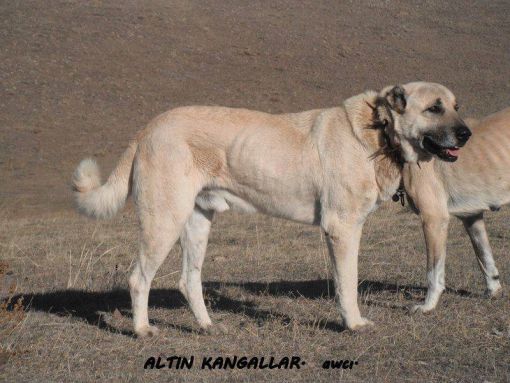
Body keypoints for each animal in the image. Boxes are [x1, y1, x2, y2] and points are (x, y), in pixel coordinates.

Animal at [71, 82, 470, 338]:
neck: (379, 132)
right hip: (164, 221)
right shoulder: (341, 229)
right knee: (139, 278)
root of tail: (149, 127)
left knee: (188, 280)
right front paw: (353, 324)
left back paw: (207, 326)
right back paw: (141, 330)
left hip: (198, 222)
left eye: (455, 106)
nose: (466, 134)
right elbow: (348, 283)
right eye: (434, 107)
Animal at [404, 106, 508, 314]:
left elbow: (433, 273)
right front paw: (493, 291)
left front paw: (427, 305)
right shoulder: (472, 218)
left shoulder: (434, 220)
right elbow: (484, 258)